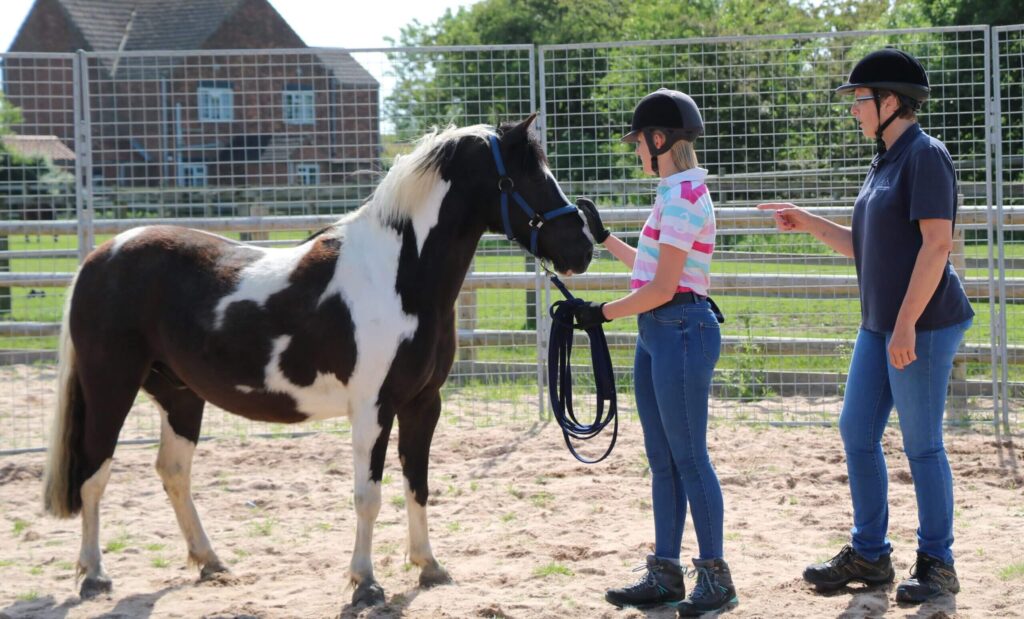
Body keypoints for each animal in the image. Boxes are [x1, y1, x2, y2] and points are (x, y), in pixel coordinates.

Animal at [42, 114, 594, 607]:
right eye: (528, 178)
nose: (583, 247)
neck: (397, 275)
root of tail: (100, 257)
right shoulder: (373, 408)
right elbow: (368, 495)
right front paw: (366, 585)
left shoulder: (423, 403)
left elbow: (417, 484)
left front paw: (429, 566)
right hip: (110, 386)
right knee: (94, 472)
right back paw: (94, 576)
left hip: (179, 395)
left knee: (173, 471)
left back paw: (211, 563)